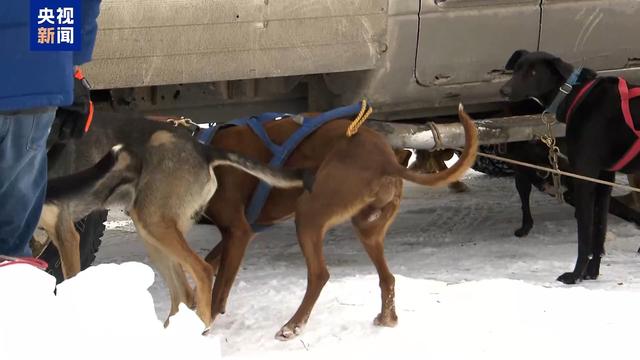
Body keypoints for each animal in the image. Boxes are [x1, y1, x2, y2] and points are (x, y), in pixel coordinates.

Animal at [198, 102, 478, 338]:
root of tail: (386, 161)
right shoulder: (242, 232)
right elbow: (208, 265)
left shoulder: (238, 231)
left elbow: (218, 289)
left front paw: (205, 324)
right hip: (367, 227)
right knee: (387, 278)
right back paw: (387, 319)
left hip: (309, 213)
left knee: (320, 275)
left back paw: (292, 326)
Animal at [500, 50, 640, 284]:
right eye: (516, 68)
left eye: (533, 72)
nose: (504, 91)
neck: (575, 95)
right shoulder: (604, 178)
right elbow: (599, 230)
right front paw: (591, 272)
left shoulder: (584, 177)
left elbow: (585, 235)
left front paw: (575, 275)